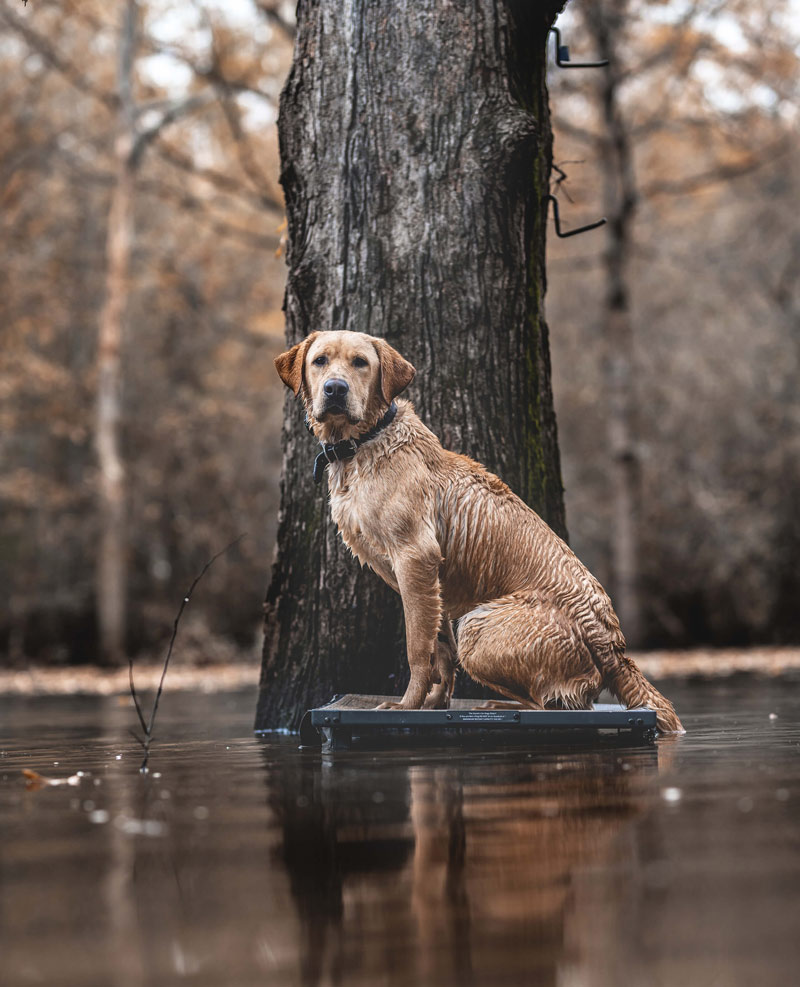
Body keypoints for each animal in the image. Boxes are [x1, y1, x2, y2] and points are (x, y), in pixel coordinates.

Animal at [276, 332, 680, 732]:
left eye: (360, 362)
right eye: (320, 361)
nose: (335, 388)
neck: (364, 443)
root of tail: (612, 641)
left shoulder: (415, 557)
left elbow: (417, 649)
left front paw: (407, 704)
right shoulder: (430, 580)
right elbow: (441, 649)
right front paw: (435, 704)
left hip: (478, 625)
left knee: (564, 701)